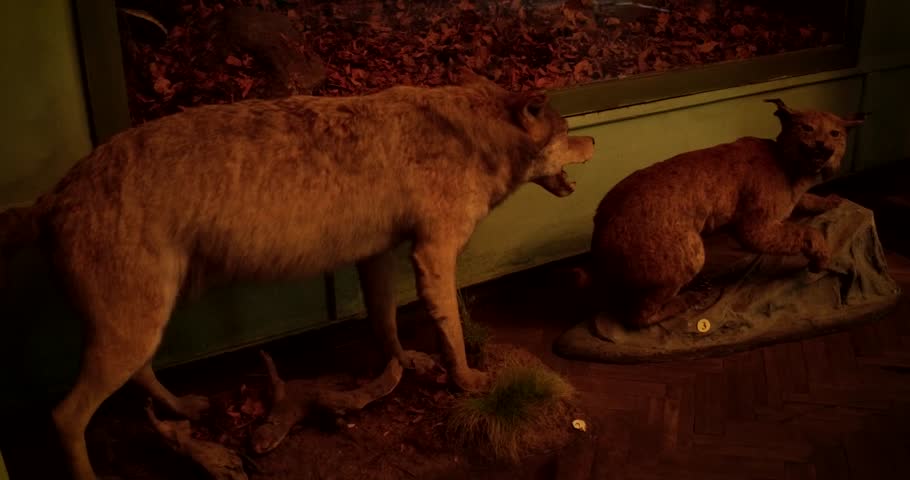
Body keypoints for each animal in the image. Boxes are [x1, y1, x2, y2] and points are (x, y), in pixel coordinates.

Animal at [0, 71, 595, 479]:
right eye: (569, 131)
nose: (593, 141)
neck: (474, 134)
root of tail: (51, 198)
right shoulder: (433, 254)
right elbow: (449, 328)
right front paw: (466, 380)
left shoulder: (376, 256)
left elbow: (385, 324)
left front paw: (405, 364)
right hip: (130, 329)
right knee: (65, 416)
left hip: (141, 321)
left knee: (142, 375)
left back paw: (184, 407)